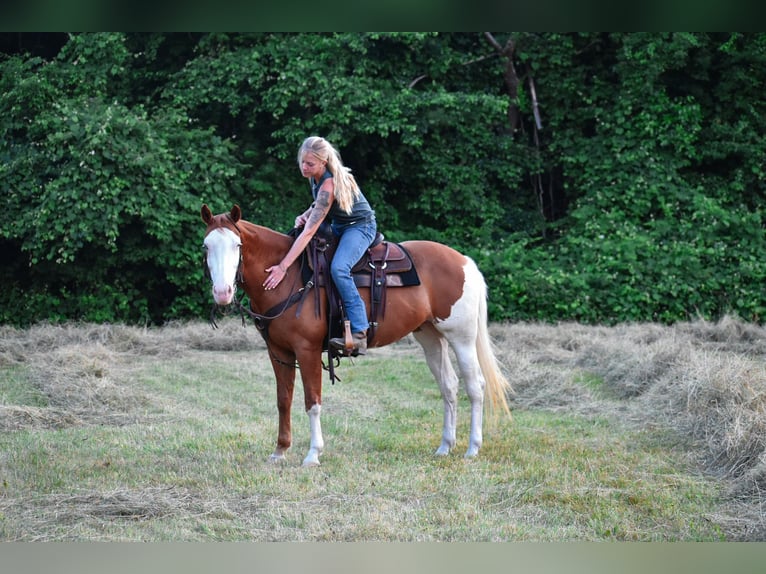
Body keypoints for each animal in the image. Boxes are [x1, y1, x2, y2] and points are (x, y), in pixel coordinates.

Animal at [202, 206, 516, 468]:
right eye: (206, 246)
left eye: (237, 245)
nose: (222, 292)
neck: (288, 275)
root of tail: (464, 261)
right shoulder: (278, 353)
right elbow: (283, 400)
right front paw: (280, 451)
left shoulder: (307, 350)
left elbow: (312, 401)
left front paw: (313, 454)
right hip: (430, 337)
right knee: (449, 386)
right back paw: (444, 447)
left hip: (461, 337)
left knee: (475, 387)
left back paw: (472, 448)